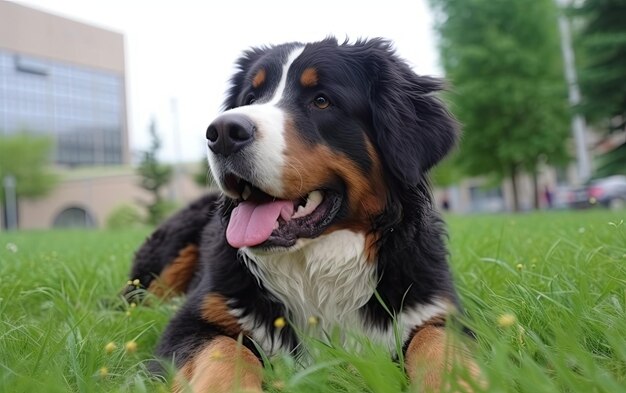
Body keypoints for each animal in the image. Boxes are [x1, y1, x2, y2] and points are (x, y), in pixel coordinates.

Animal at [125, 37, 478, 392]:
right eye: (250, 98)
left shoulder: (436, 311)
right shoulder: (195, 320)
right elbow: (225, 351)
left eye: (321, 101)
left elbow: (438, 344)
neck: (315, 267)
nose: (222, 132)